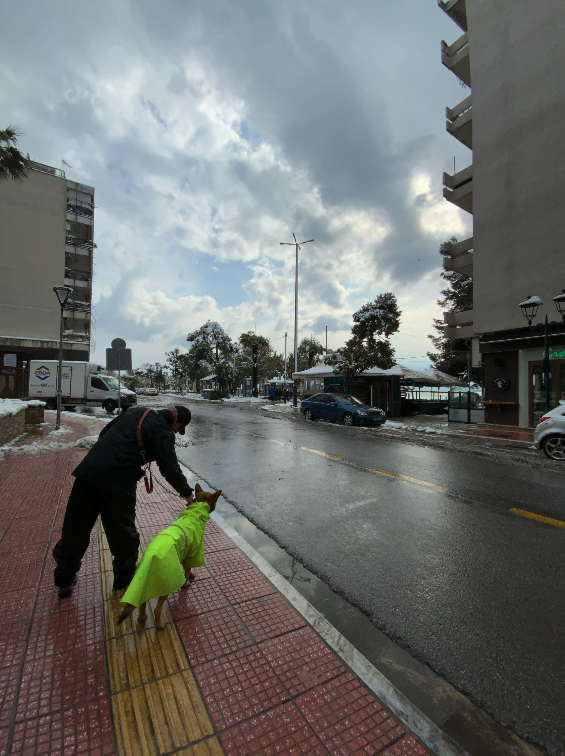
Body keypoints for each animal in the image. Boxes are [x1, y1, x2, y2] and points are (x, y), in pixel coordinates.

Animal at [116, 484, 220, 632]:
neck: (195, 511)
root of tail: (148, 559)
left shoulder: (184, 553)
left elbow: (187, 567)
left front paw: (191, 575)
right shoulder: (194, 551)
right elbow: (188, 569)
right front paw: (187, 582)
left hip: (143, 584)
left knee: (142, 604)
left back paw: (142, 618)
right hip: (166, 583)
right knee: (157, 610)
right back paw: (160, 626)